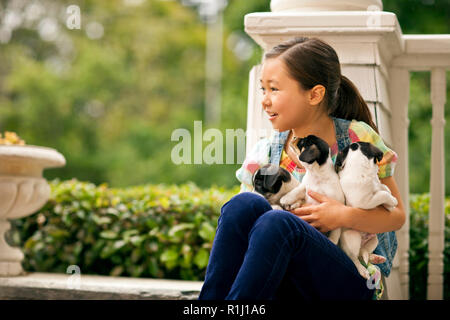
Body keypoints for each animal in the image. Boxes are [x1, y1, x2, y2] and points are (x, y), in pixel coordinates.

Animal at [334, 141, 398, 278]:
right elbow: (382, 195)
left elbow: (384, 188)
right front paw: (392, 202)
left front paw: (389, 204)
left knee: (363, 253)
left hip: (374, 239)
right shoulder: (365, 202)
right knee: (354, 258)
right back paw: (362, 270)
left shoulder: (377, 184)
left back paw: (374, 258)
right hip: (352, 237)